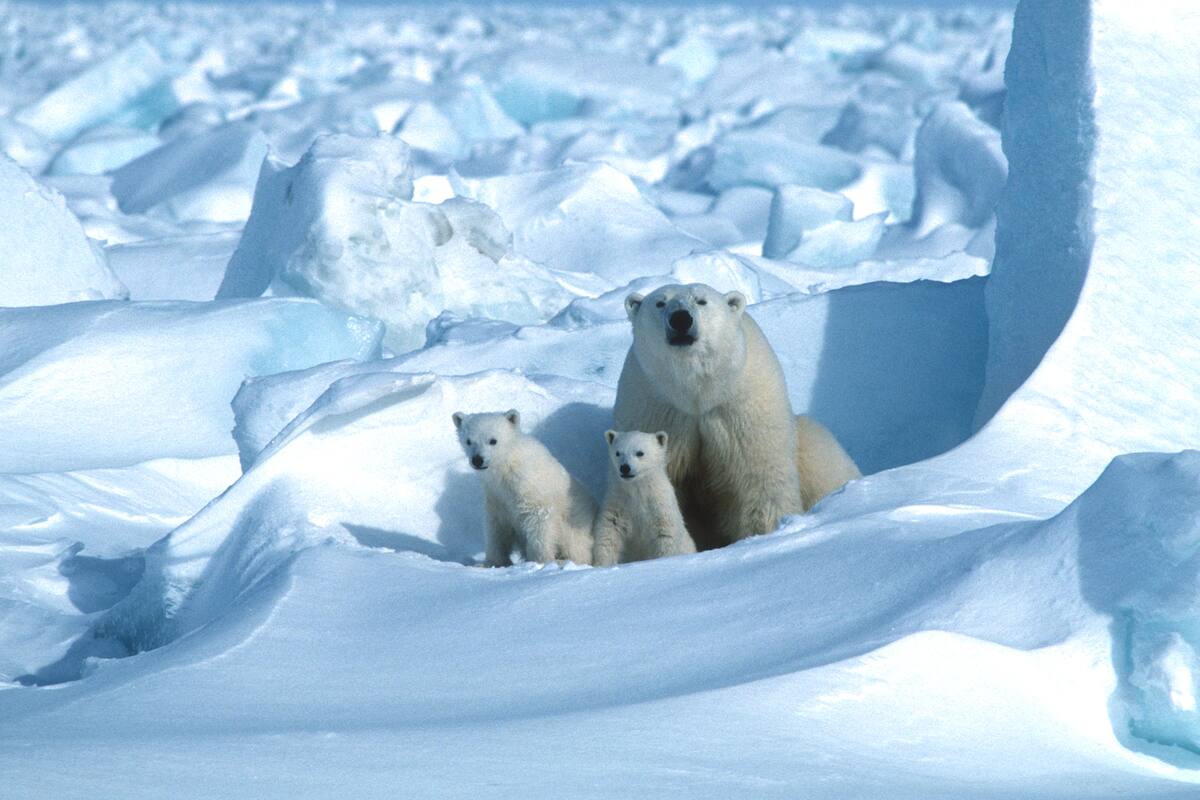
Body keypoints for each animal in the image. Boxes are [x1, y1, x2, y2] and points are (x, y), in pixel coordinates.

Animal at [452, 409, 596, 567]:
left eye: (493, 440)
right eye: (468, 441)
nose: (477, 460)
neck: (507, 467)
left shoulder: (531, 489)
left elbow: (540, 521)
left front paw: (540, 561)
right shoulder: (496, 495)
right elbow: (497, 527)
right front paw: (490, 562)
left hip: (574, 522)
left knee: (577, 547)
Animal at [592, 430, 697, 566]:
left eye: (640, 453)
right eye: (618, 453)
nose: (624, 467)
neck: (638, 490)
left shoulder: (660, 507)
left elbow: (666, 535)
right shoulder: (618, 503)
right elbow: (609, 531)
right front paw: (602, 564)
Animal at [612, 283, 860, 550]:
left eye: (701, 301)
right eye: (660, 302)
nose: (681, 319)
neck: (697, 392)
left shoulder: (741, 407)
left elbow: (758, 478)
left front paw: (764, 533)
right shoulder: (656, 407)